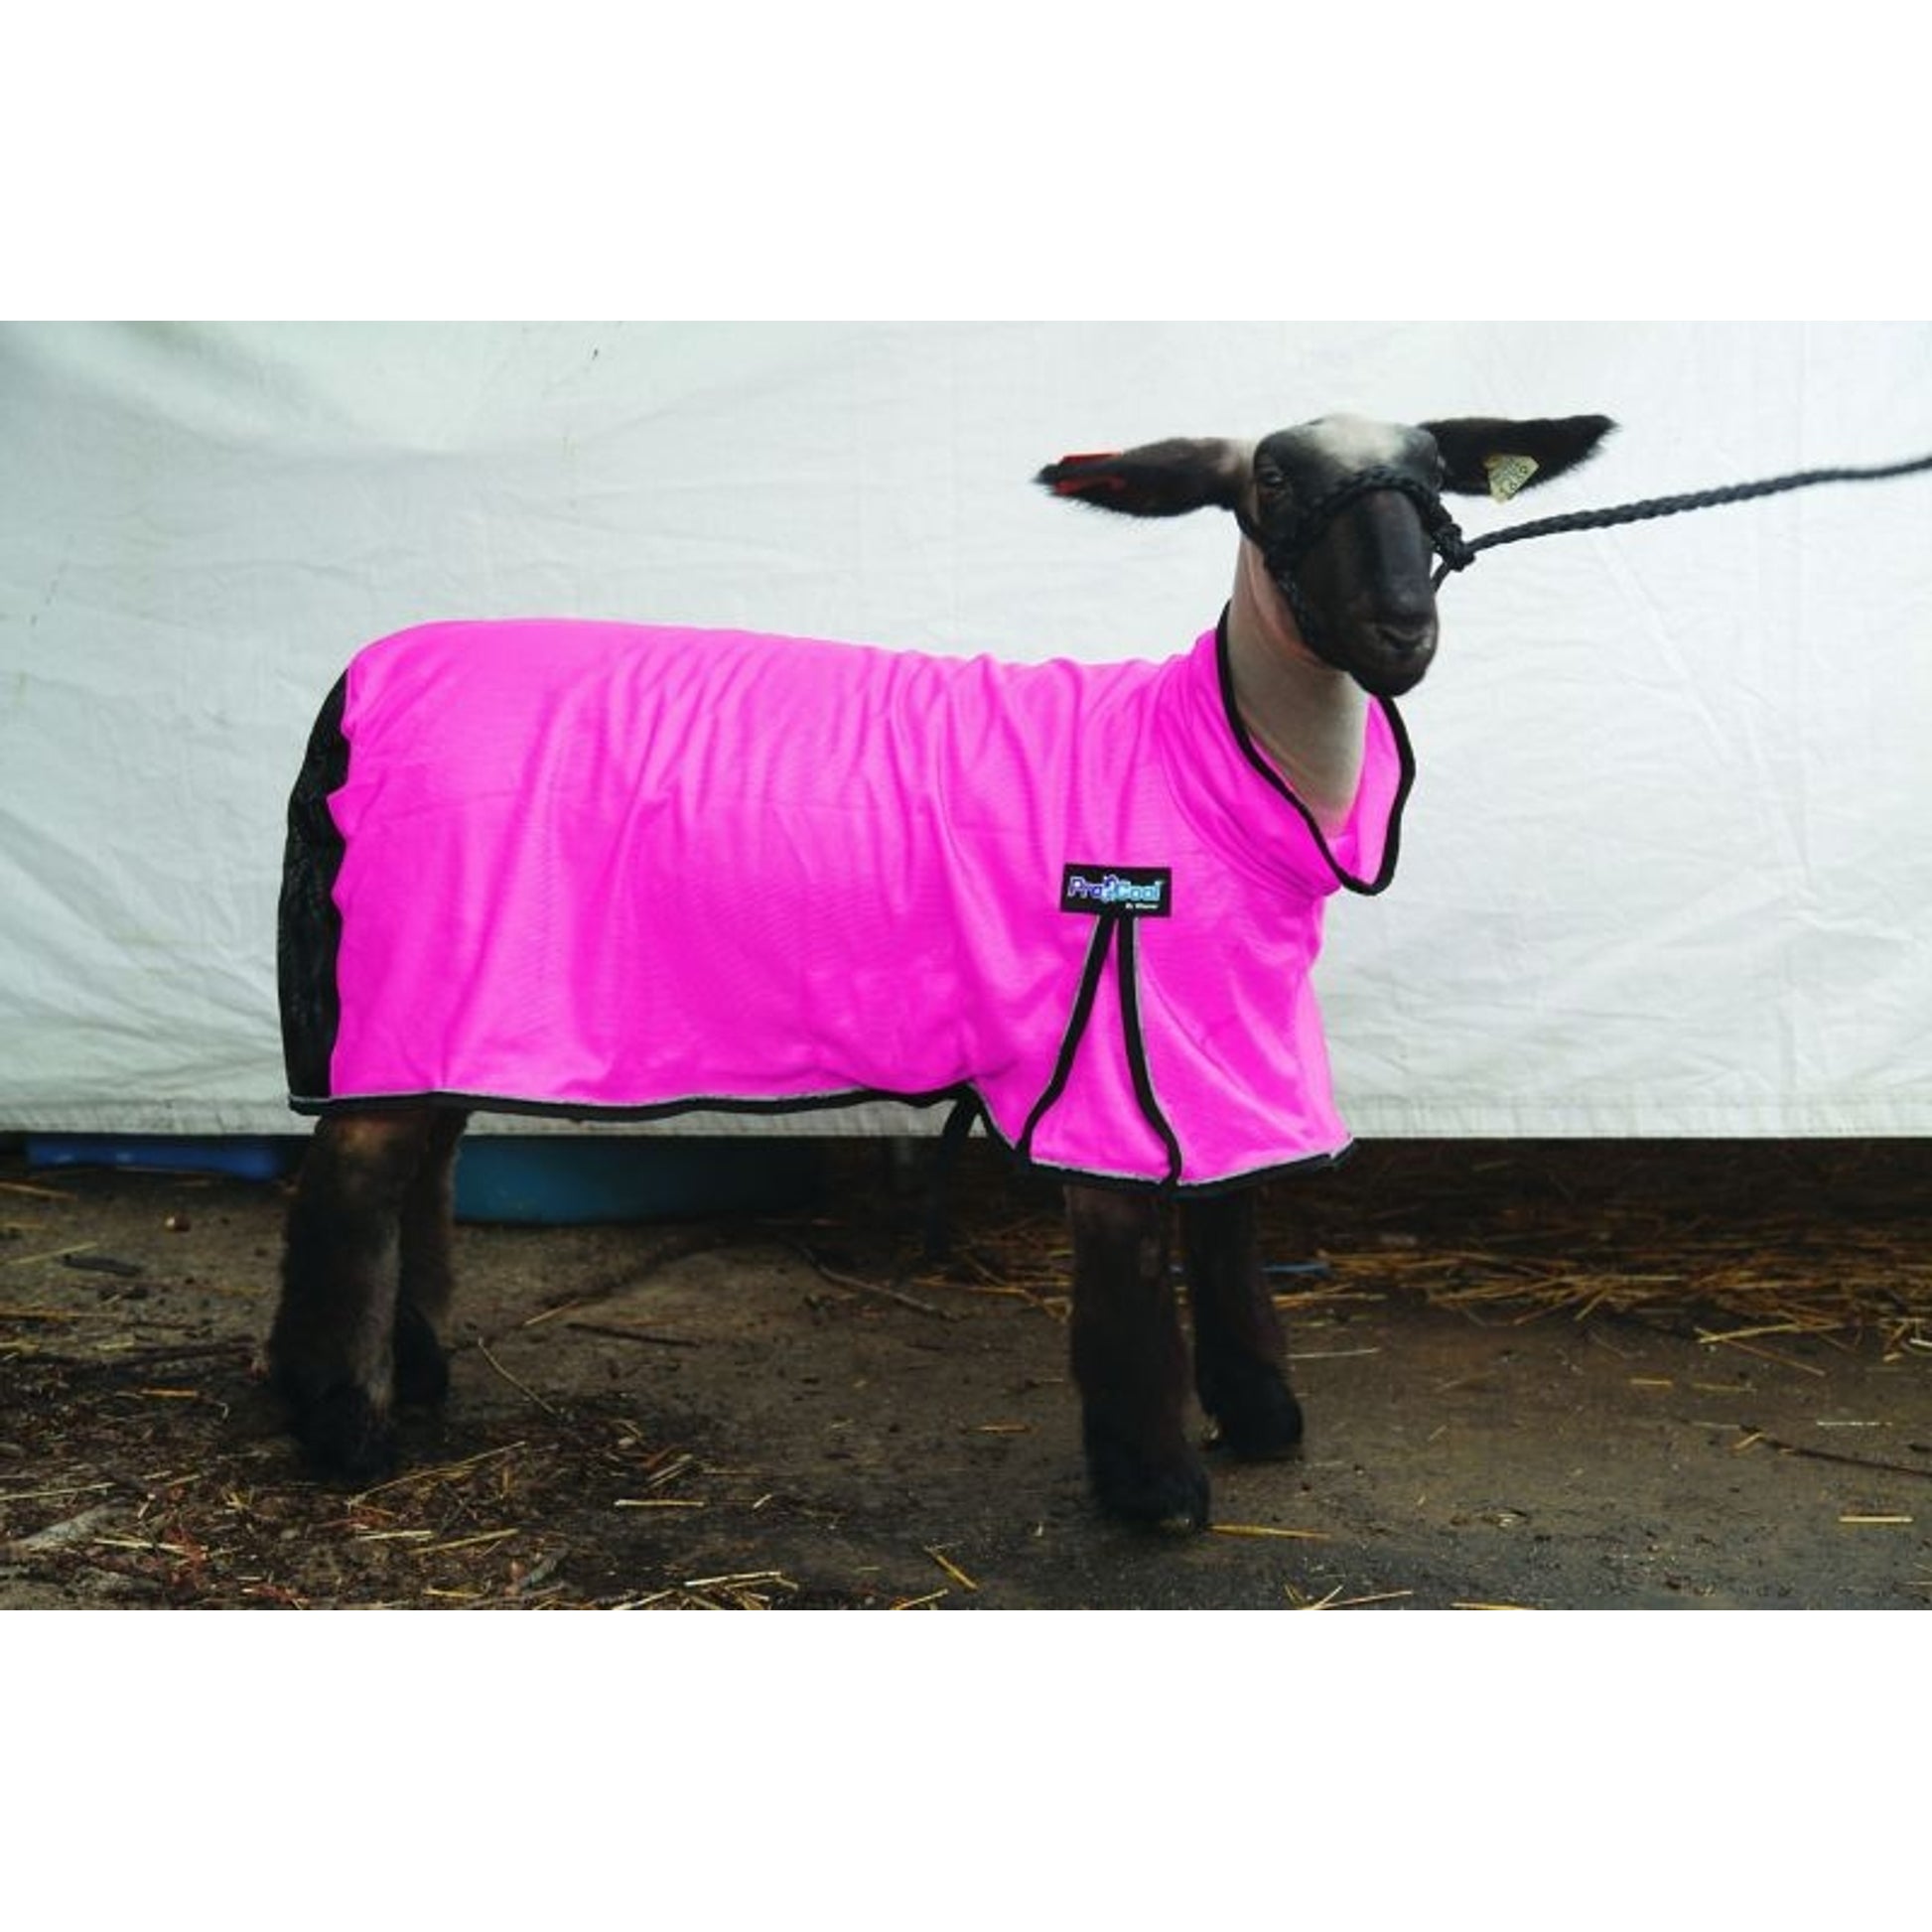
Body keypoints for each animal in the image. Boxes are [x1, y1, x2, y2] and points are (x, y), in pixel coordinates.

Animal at [268, 409, 1614, 1530]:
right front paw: (1154, 1487)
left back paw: (416, 1374)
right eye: (1273, 481)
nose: (1401, 631)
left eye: (1434, 477)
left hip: (442, 988)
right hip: (418, 949)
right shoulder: (1111, 1040)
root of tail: (359, 680)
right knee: (353, 1175)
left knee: (424, 1159)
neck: (1220, 756)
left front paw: (1261, 1420)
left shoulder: (1221, 1033)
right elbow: (1132, 1257)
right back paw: (341, 1428)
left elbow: (1230, 1221)